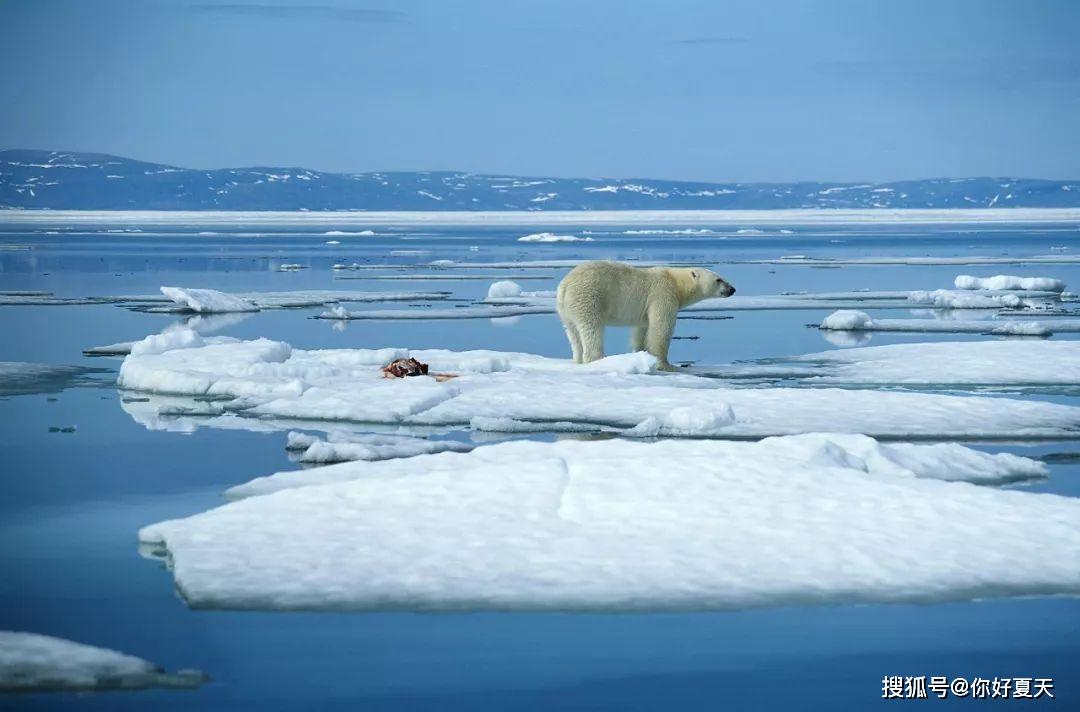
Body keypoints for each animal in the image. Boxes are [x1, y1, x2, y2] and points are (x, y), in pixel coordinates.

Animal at [557, 263, 734, 373]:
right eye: (719, 279)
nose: (732, 289)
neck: (676, 282)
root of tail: (565, 285)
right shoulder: (663, 294)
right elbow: (661, 329)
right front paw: (667, 365)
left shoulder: (645, 309)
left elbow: (641, 330)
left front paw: (641, 356)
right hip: (589, 296)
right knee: (591, 328)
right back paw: (598, 360)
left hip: (566, 310)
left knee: (573, 332)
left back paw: (577, 359)